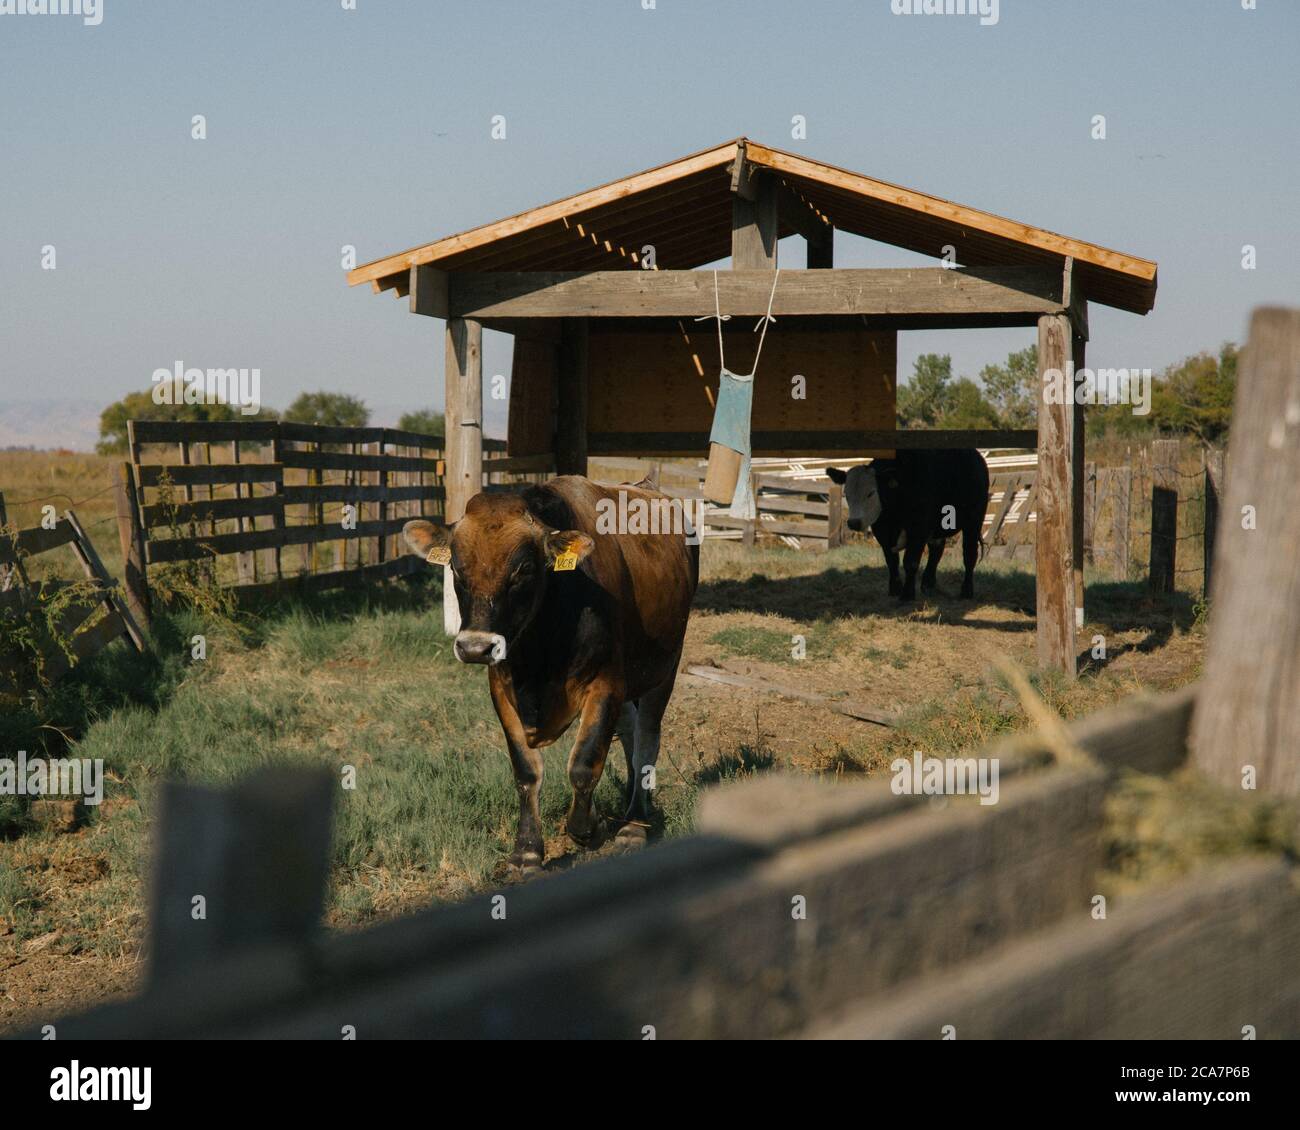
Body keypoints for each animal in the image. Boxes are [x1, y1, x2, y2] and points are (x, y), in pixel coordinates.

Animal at [402, 475, 698, 874]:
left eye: (524, 569)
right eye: (456, 568)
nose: (476, 647)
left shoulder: (605, 684)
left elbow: (584, 763)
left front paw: (589, 829)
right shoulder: (501, 689)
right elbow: (526, 772)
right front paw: (527, 851)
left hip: (664, 667)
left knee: (647, 739)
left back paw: (634, 823)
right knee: (630, 732)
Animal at [827, 449, 990, 601]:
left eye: (871, 493)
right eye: (846, 494)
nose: (854, 522)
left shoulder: (918, 530)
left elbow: (910, 561)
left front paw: (907, 594)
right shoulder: (883, 533)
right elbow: (892, 561)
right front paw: (895, 589)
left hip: (973, 521)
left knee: (969, 554)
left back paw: (966, 591)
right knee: (936, 550)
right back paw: (928, 584)